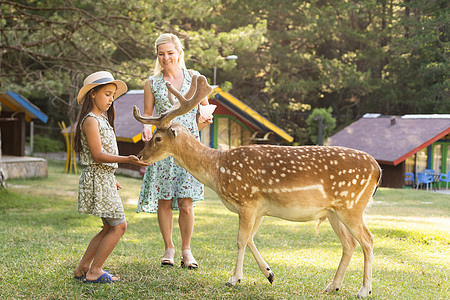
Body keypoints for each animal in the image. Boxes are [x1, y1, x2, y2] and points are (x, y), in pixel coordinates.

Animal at [133, 75, 380, 298]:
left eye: (157, 138)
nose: (140, 156)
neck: (218, 169)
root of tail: (377, 169)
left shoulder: (247, 200)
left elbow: (241, 239)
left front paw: (233, 279)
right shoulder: (259, 208)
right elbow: (251, 238)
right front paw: (269, 274)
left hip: (351, 206)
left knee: (368, 240)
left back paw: (364, 290)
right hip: (333, 212)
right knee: (349, 243)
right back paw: (332, 286)